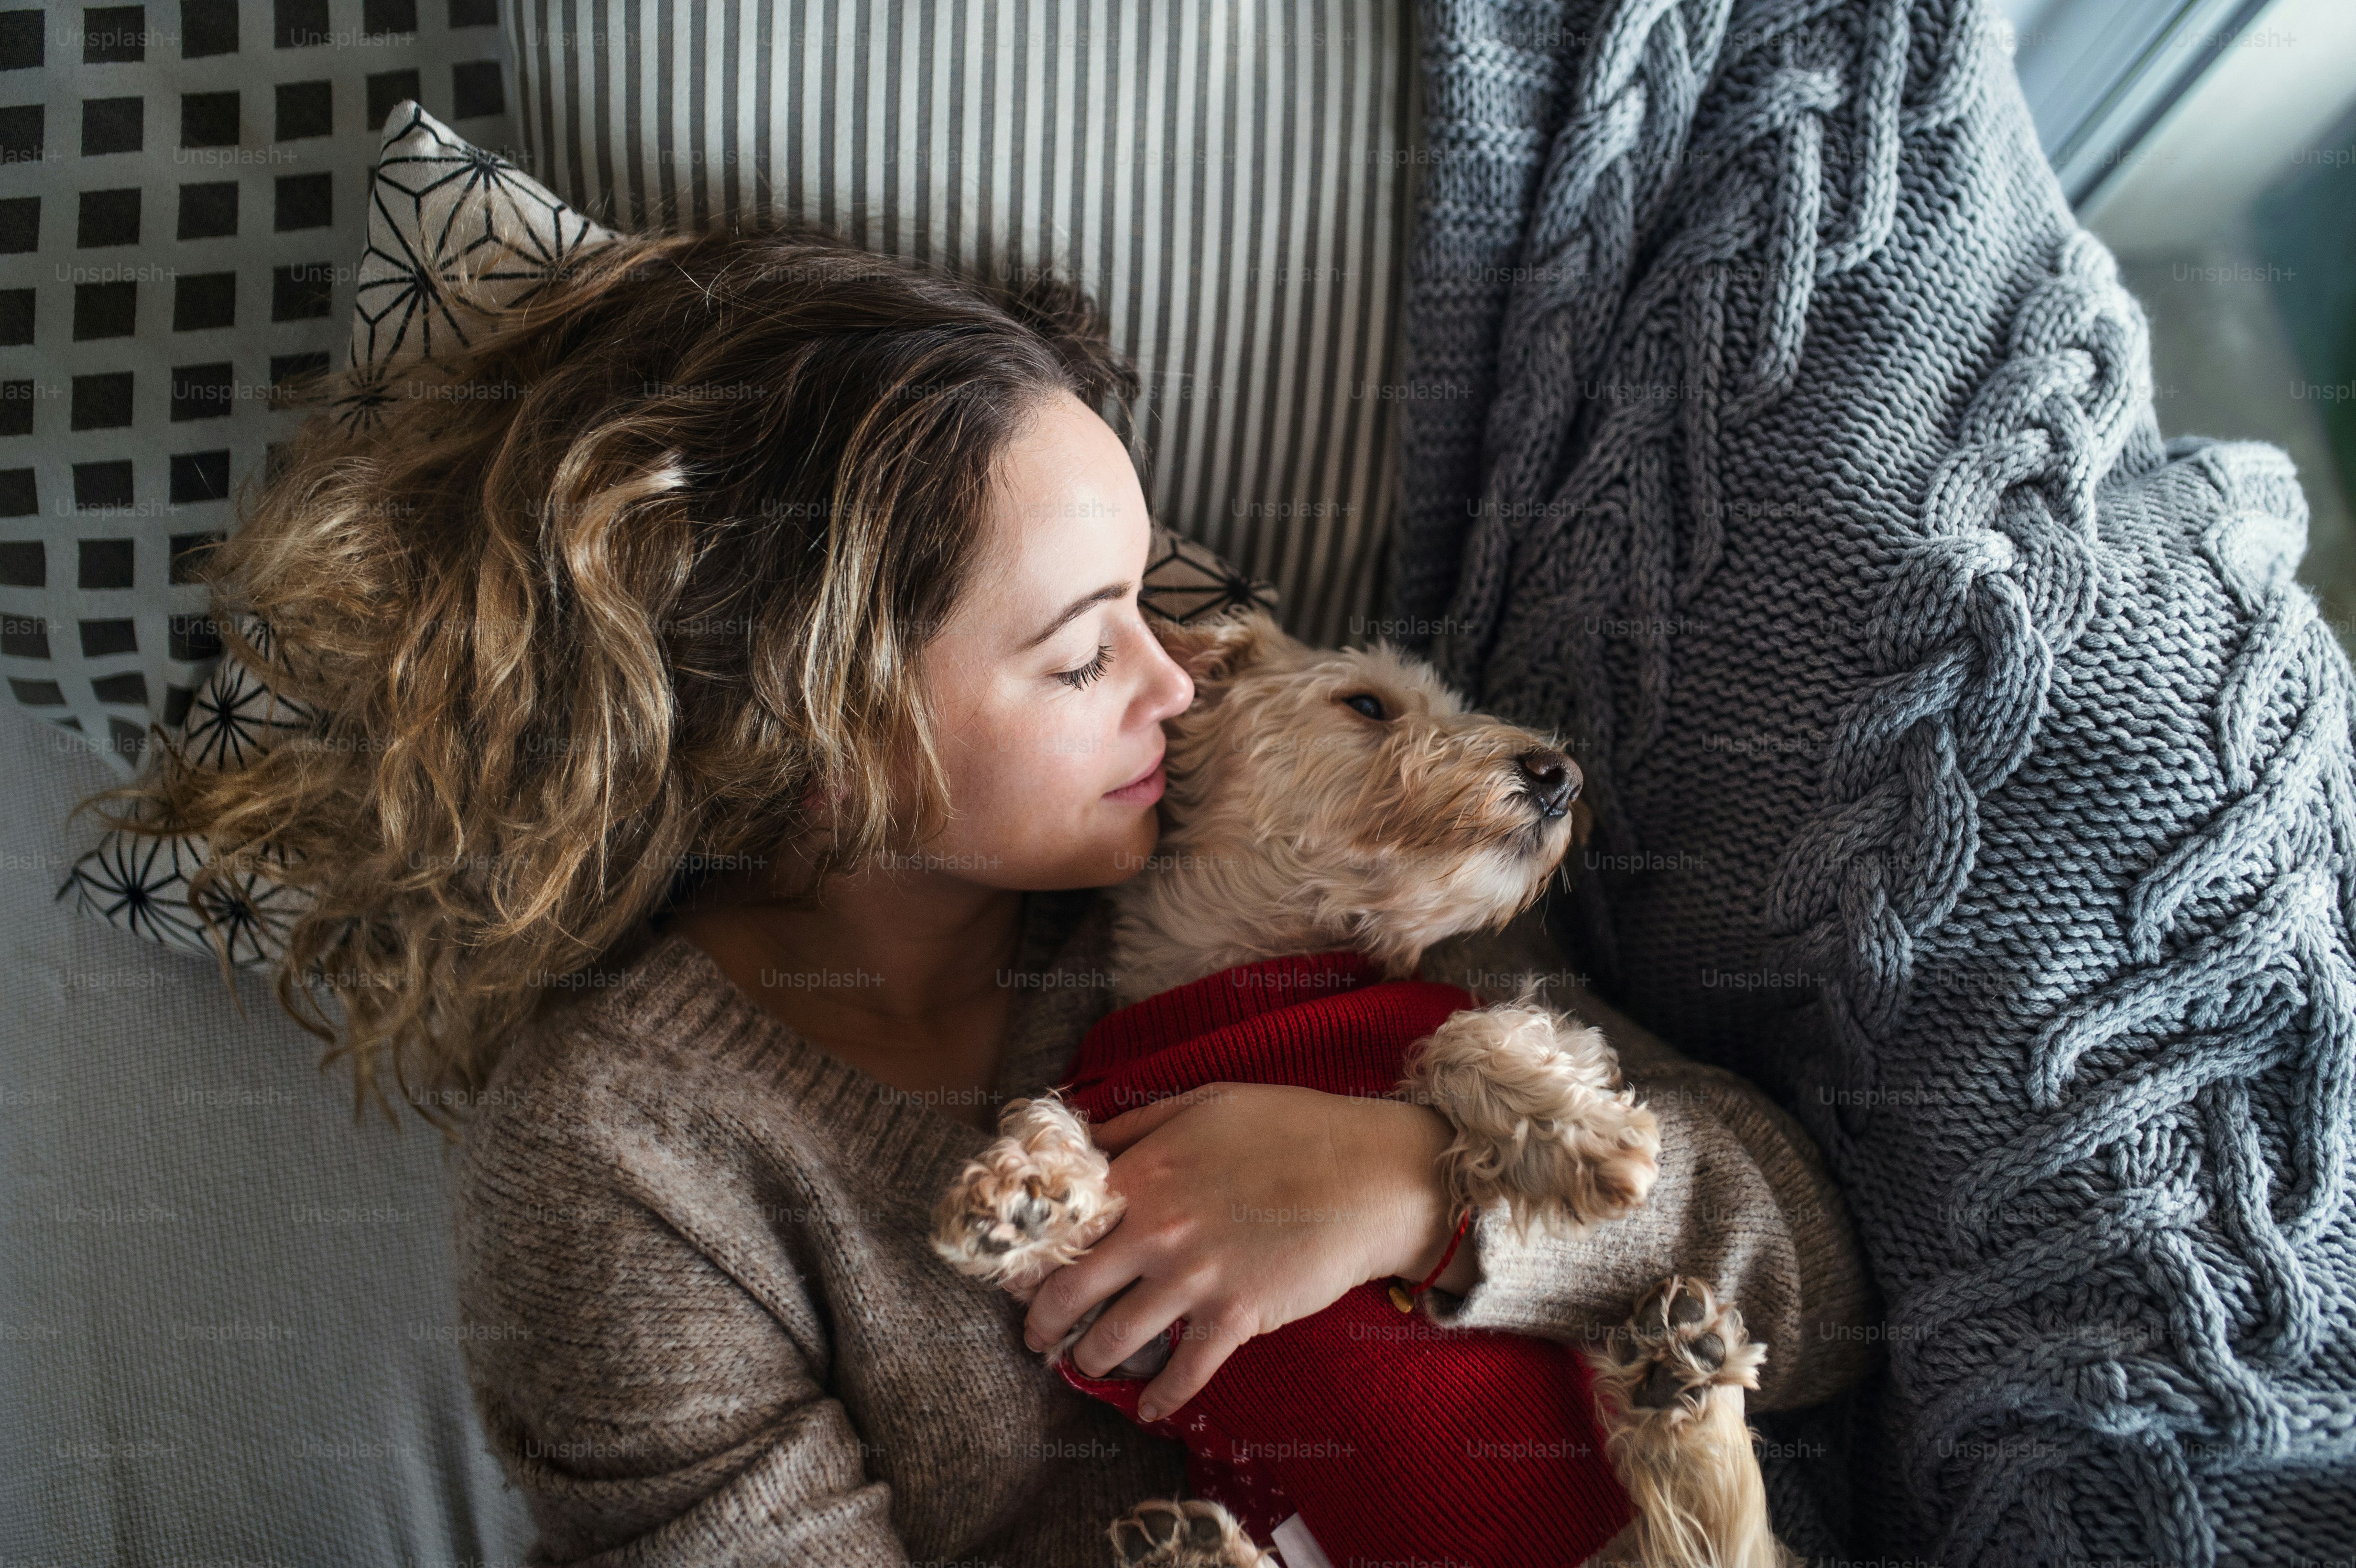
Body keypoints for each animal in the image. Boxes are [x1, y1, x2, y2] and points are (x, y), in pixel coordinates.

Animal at [933, 600, 1781, 1563]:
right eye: (1367, 705)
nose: (1559, 773)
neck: (1252, 979)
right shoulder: (1119, 1338)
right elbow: (1050, 1134)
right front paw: (1023, 1193)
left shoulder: (1543, 1029)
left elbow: (1466, 1033)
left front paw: (1583, 1141)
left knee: (1722, 1531)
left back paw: (1682, 1378)